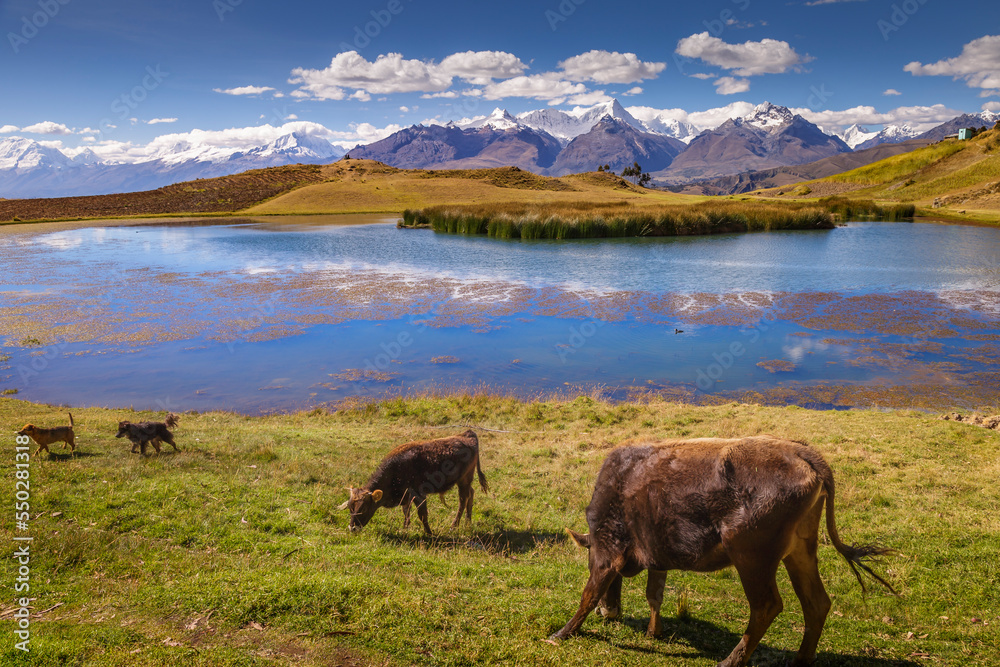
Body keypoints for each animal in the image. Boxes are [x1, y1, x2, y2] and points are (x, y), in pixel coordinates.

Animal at [340, 430, 488, 536]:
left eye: (363, 508)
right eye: (350, 508)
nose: (352, 528)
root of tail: (467, 434)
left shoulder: (419, 494)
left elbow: (422, 515)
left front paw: (430, 533)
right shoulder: (406, 497)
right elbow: (406, 512)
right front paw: (405, 528)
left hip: (464, 480)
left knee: (463, 501)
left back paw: (454, 526)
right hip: (465, 481)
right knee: (471, 494)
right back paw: (468, 522)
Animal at [552, 438, 896, 667]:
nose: (610, 613)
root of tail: (805, 453)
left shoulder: (607, 553)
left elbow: (589, 593)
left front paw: (562, 632)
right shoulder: (658, 556)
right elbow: (655, 594)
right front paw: (654, 631)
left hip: (751, 559)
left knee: (767, 606)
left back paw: (731, 660)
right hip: (800, 552)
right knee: (816, 603)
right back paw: (800, 660)